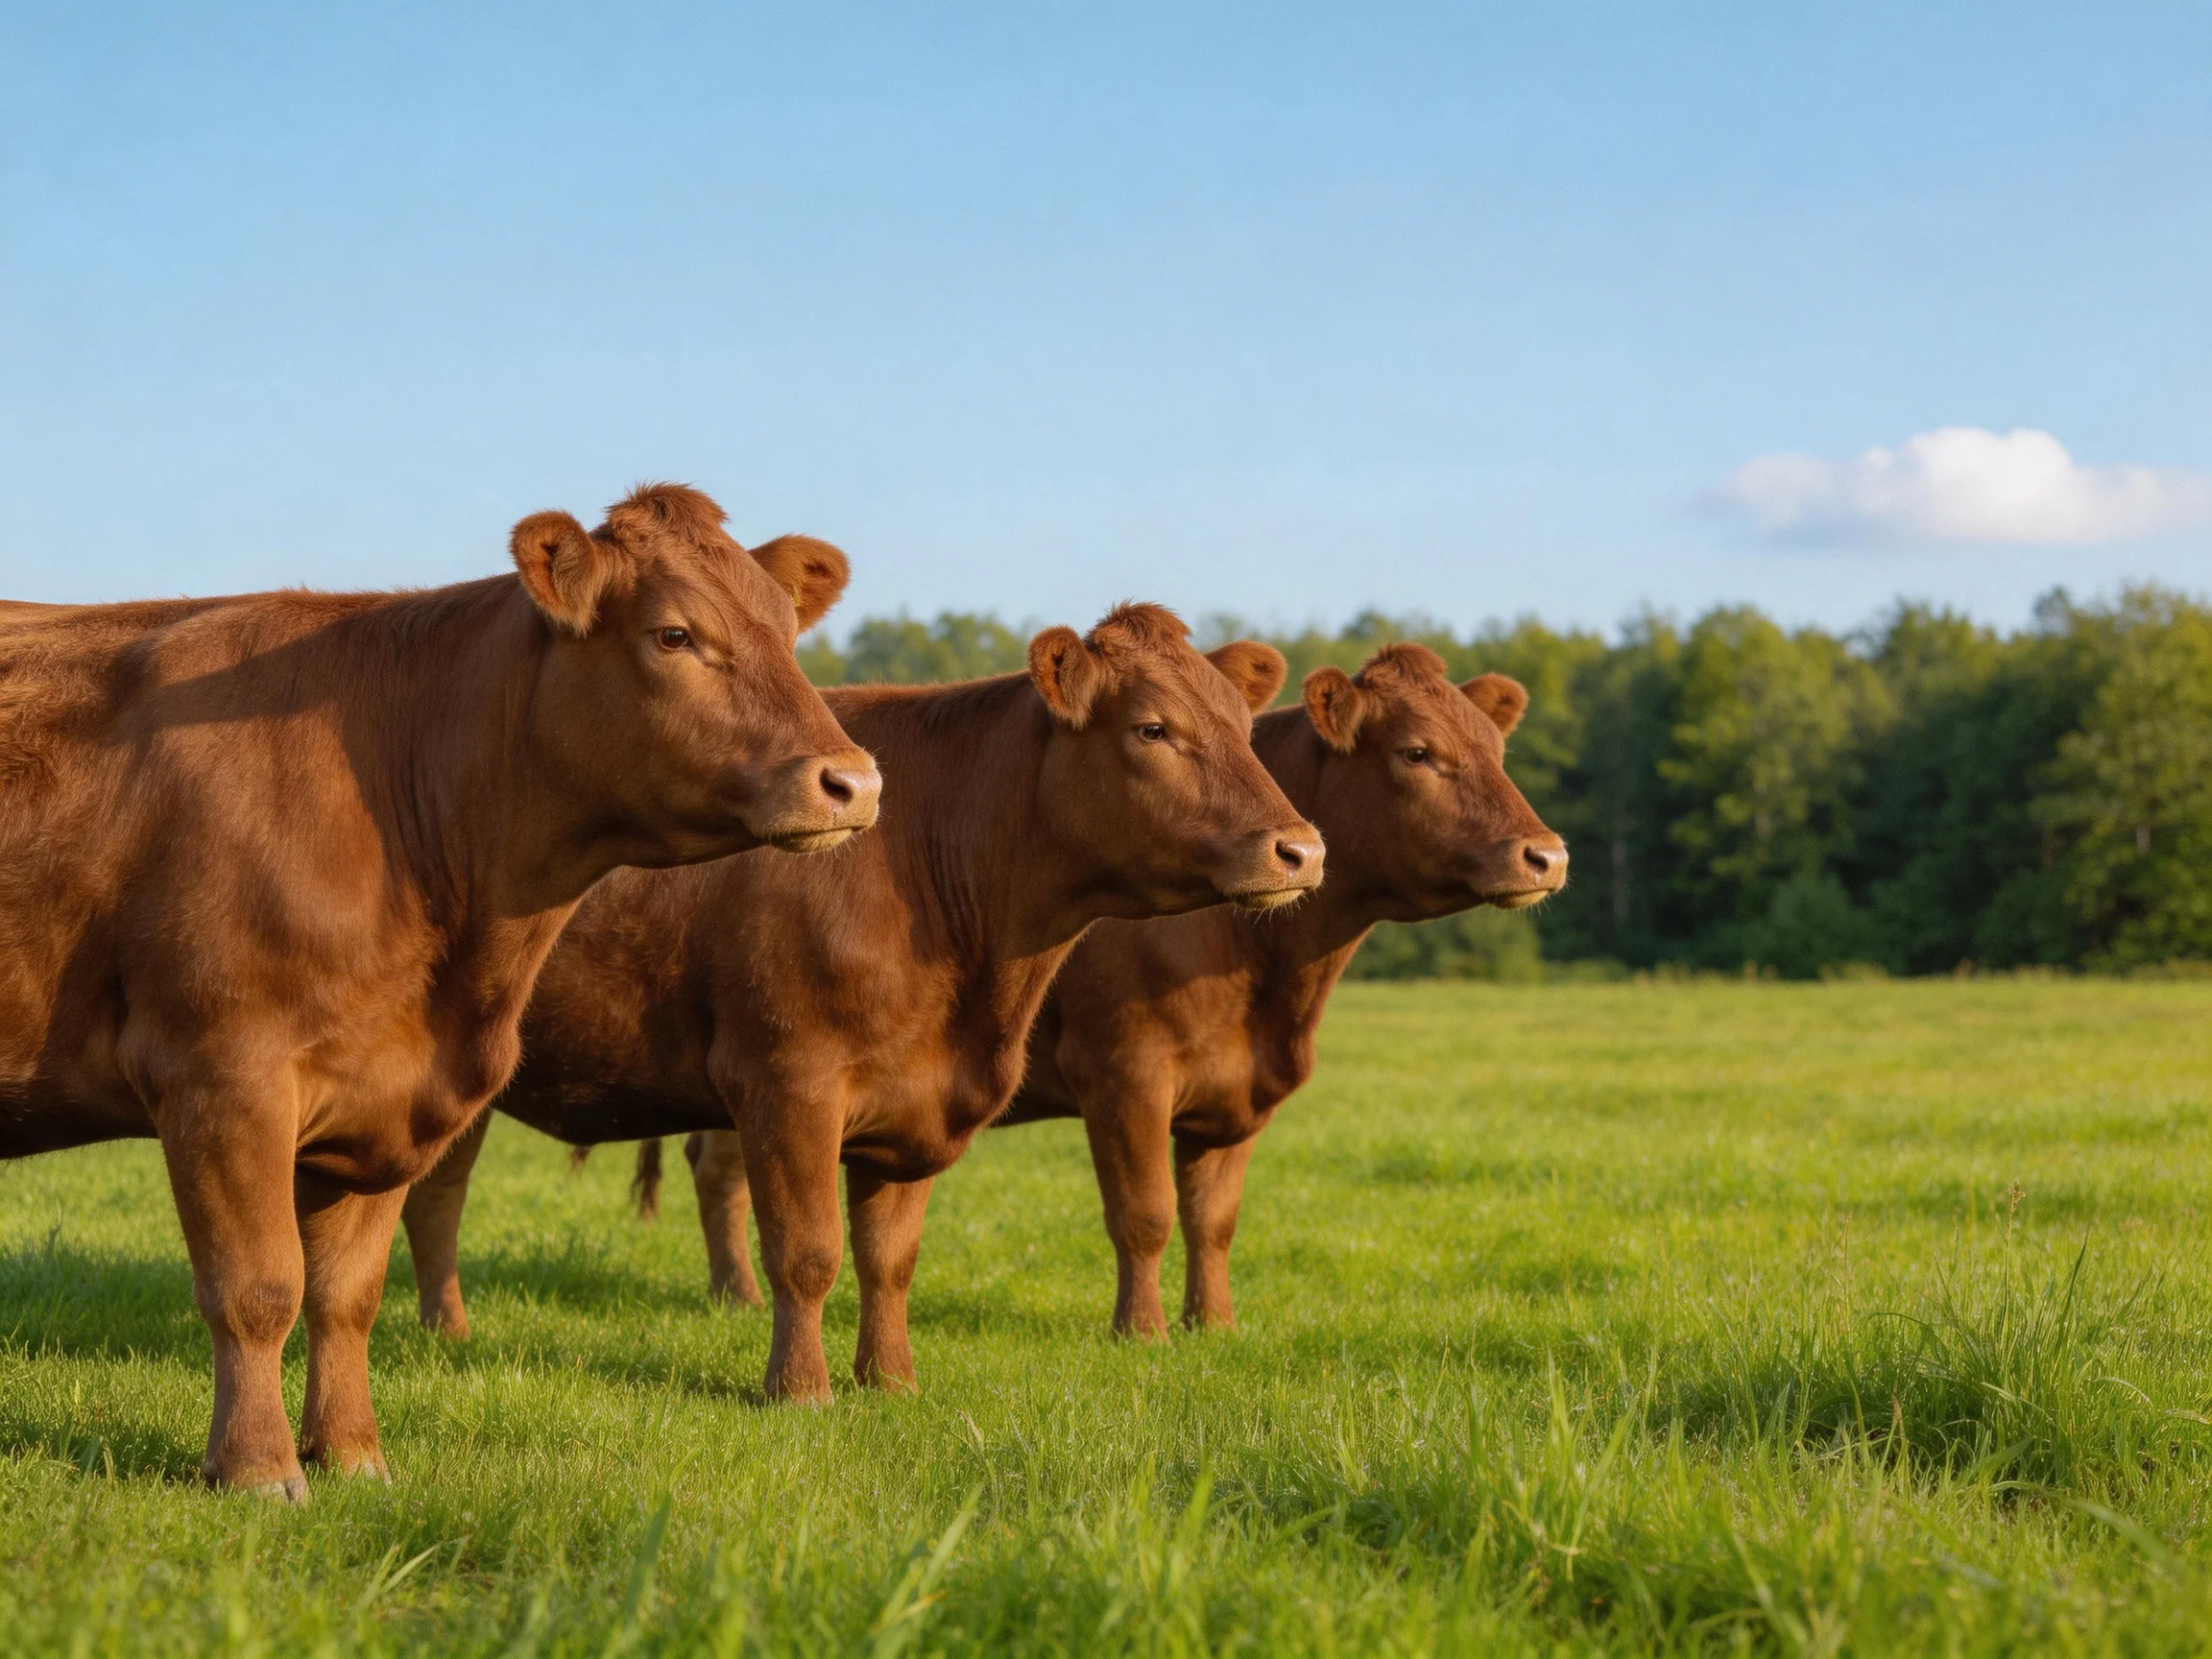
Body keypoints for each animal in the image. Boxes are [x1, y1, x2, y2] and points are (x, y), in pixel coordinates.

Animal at [0, 484, 879, 1497]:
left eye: (787, 631)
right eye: (673, 634)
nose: (853, 781)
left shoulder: (378, 1094)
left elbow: (344, 1293)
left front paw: (351, 1454)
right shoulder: (219, 1075)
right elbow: (257, 1288)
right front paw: (258, 1468)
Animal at [397, 606, 1324, 1400]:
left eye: (1244, 730)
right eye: (1153, 728)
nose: (1301, 849)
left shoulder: (912, 1101)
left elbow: (890, 1256)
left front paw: (890, 1381)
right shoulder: (788, 1081)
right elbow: (807, 1251)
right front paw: (800, 1391)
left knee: (436, 1196)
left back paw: (447, 1335)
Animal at [653, 642, 1564, 1336]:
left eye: (1498, 751)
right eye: (1417, 751)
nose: (1546, 855)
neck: (1267, 977)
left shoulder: (1234, 1090)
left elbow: (1214, 1219)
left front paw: (1214, 1326)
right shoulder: (1127, 1068)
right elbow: (1146, 1212)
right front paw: (1143, 1334)